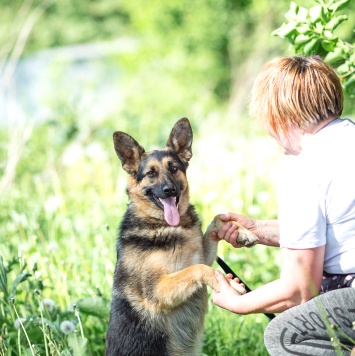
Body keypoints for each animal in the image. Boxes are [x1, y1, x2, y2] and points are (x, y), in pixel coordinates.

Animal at [105, 119, 253, 356]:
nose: (169, 190)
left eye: (174, 168)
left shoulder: (200, 255)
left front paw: (241, 230)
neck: (165, 226)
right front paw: (232, 285)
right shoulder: (158, 291)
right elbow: (199, 270)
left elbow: (217, 220)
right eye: (151, 173)